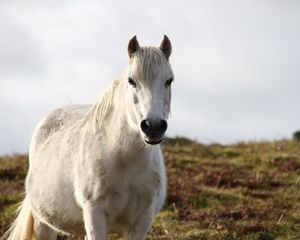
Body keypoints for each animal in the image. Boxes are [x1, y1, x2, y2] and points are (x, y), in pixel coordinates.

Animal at [2, 35, 173, 240]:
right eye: (131, 81)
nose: (153, 126)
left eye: (169, 80)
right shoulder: (95, 215)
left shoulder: (140, 223)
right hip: (43, 223)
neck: (125, 162)